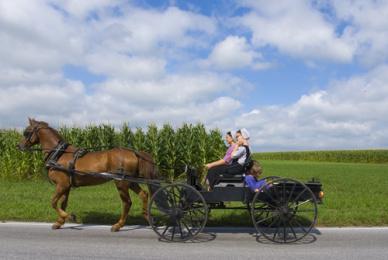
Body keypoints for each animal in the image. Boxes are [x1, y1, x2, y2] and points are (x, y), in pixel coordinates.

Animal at [16, 118, 156, 232]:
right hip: (130, 181)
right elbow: (63, 204)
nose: (19, 146)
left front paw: (70, 216)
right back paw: (147, 216)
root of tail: (134, 152)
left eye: (27, 132)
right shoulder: (66, 187)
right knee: (144, 195)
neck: (59, 154)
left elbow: (53, 202)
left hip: (121, 182)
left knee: (127, 202)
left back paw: (118, 225)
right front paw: (60, 222)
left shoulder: (62, 185)